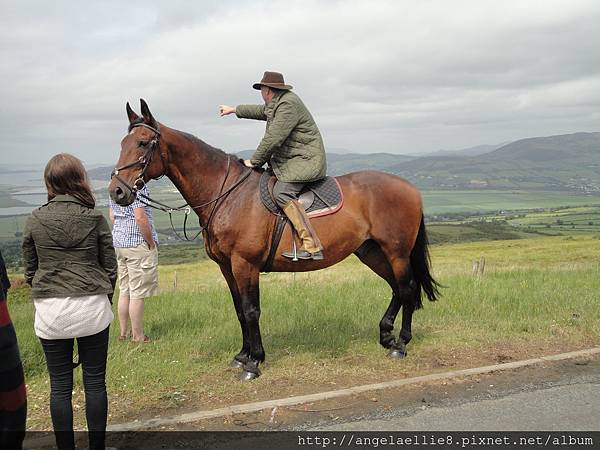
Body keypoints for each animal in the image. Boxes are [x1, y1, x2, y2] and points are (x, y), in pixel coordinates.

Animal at [108, 98, 438, 380]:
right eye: (122, 143)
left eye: (142, 142)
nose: (117, 191)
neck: (227, 194)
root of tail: (410, 188)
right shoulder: (227, 267)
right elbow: (240, 310)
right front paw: (242, 355)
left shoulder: (245, 264)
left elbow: (251, 310)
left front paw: (254, 362)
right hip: (371, 252)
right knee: (396, 288)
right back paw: (386, 335)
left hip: (396, 251)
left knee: (406, 288)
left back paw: (401, 343)